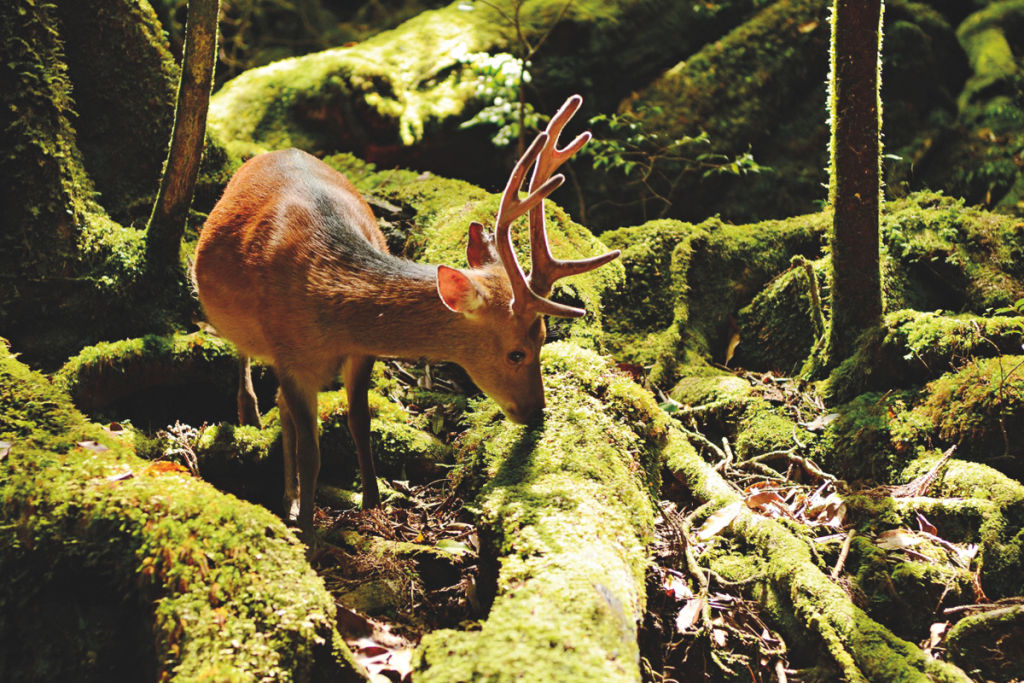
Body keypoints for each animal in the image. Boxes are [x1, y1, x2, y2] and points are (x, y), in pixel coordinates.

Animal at [192, 95, 618, 539]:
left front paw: (372, 502)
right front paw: (308, 534)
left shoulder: (360, 352)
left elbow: (359, 420)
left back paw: (289, 496)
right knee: (246, 365)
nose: (536, 411)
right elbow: (312, 450)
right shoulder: (292, 356)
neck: (325, 305)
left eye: (545, 337)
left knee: (282, 404)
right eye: (516, 353)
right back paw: (255, 426)